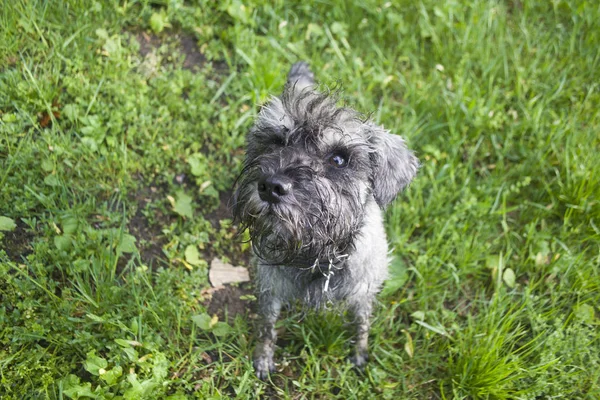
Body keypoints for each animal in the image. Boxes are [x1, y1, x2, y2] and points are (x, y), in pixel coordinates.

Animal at [232, 61, 420, 378]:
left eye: (339, 159)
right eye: (276, 141)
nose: (271, 187)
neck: (315, 256)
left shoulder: (363, 292)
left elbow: (361, 324)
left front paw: (359, 353)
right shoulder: (271, 288)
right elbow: (267, 326)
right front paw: (263, 358)